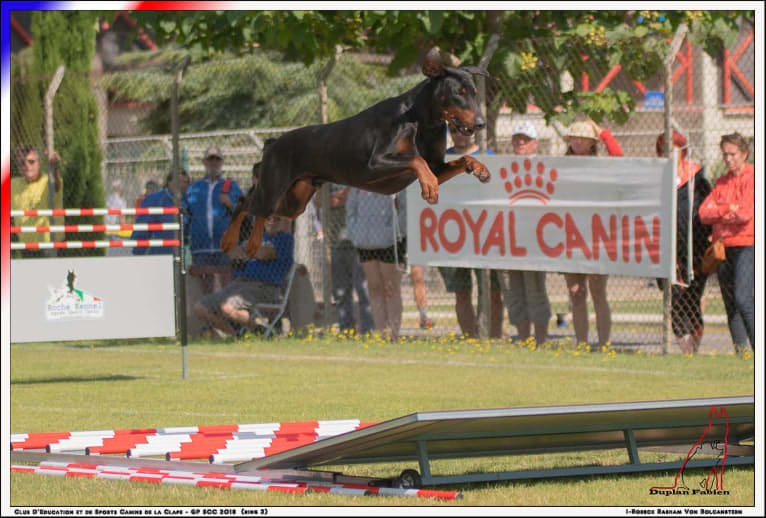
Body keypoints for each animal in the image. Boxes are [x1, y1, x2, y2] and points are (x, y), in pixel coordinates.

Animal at [222, 47, 496, 258]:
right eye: (458, 93)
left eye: (474, 93)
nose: (481, 123)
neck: (423, 120)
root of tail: (273, 143)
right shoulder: (375, 163)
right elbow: (417, 160)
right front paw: (428, 184)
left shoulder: (437, 165)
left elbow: (457, 159)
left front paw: (479, 168)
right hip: (274, 187)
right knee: (244, 202)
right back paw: (229, 240)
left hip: (295, 202)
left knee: (261, 212)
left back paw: (253, 243)